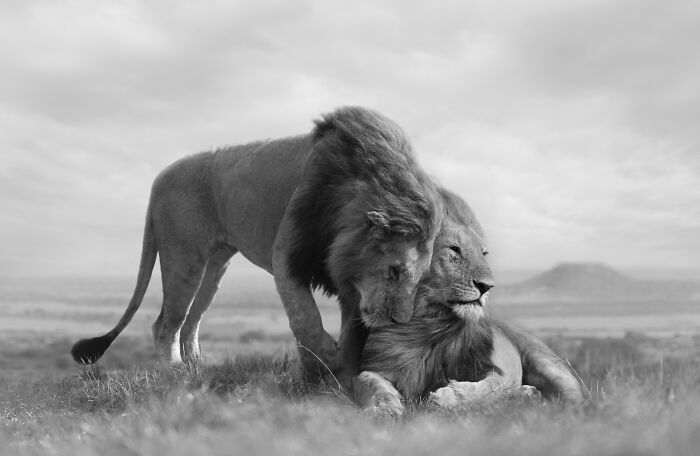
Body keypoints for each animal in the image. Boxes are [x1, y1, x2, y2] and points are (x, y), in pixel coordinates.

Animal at [70, 107, 442, 385]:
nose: (398, 323)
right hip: (183, 257)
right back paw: (173, 373)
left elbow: (348, 326)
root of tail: (157, 180)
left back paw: (197, 368)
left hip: (215, 268)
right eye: (395, 272)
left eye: (421, 279)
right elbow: (305, 319)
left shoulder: (348, 283)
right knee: (165, 323)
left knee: (190, 320)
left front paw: (338, 373)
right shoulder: (287, 256)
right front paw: (326, 361)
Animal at [355, 189, 585, 415]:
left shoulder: (497, 369)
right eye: (454, 249)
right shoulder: (380, 366)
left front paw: (448, 397)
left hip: (547, 364)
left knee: (574, 398)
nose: (487, 286)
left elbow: (492, 388)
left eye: (483, 253)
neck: (427, 325)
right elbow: (367, 381)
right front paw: (384, 407)